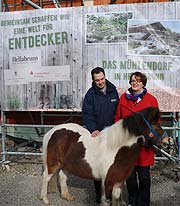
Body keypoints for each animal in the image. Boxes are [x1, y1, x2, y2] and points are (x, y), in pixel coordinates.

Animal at [39, 107, 169, 205]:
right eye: (156, 126)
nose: (168, 141)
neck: (115, 149)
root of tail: (53, 131)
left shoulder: (118, 182)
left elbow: (116, 201)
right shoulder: (106, 182)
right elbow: (106, 201)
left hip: (67, 164)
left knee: (62, 177)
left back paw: (67, 196)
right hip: (53, 163)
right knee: (46, 176)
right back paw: (44, 199)